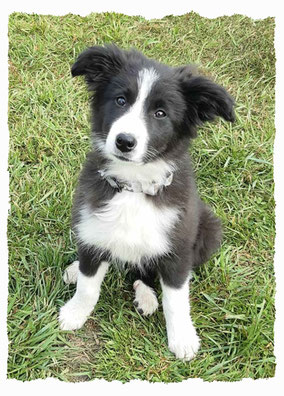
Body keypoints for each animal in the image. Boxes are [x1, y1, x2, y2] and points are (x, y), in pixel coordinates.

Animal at [58, 44, 235, 360]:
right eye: (120, 100)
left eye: (160, 113)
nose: (124, 141)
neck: (133, 186)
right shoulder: (91, 226)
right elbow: (89, 286)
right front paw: (75, 313)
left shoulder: (178, 244)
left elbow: (176, 298)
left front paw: (182, 339)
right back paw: (76, 270)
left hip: (209, 231)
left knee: (148, 270)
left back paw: (147, 296)